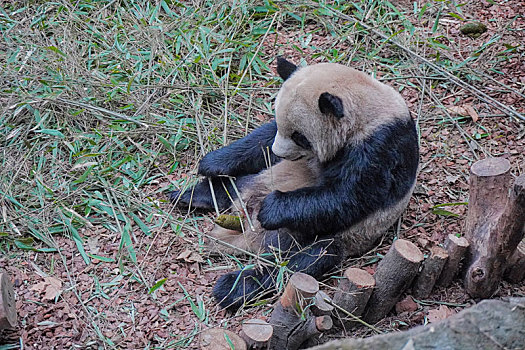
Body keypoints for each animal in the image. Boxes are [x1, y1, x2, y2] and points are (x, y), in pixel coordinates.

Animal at [170, 57, 420, 308]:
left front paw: (271, 209)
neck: (367, 106)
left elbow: (348, 196)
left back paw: (234, 286)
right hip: (262, 178)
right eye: (283, 126)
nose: (278, 152)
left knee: (299, 263)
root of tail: (246, 236)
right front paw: (212, 162)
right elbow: (261, 139)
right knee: (236, 186)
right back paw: (192, 196)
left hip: (333, 237)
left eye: (300, 136)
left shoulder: (381, 147)